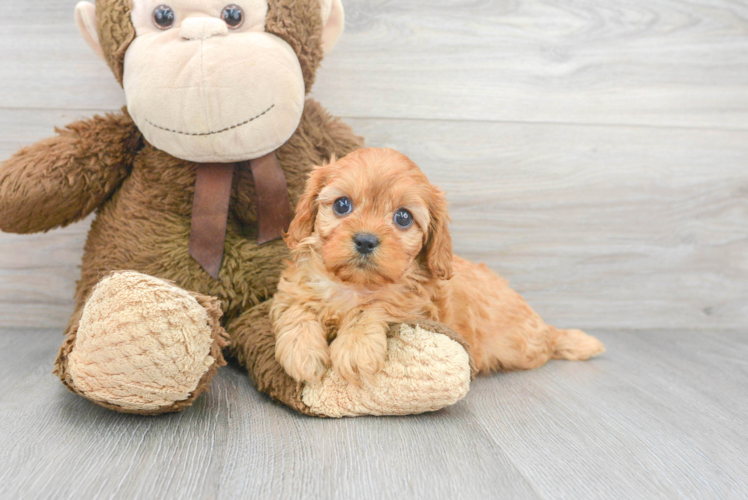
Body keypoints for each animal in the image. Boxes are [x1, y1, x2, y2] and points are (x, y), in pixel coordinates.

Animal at [272, 146, 604, 384]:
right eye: (342, 205)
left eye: (403, 217)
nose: (365, 240)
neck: (354, 286)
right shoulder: (292, 288)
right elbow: (297, 308)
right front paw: (302, 352)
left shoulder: (415, 305)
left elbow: (373, 307)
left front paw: (355, 348)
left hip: (524, 347)